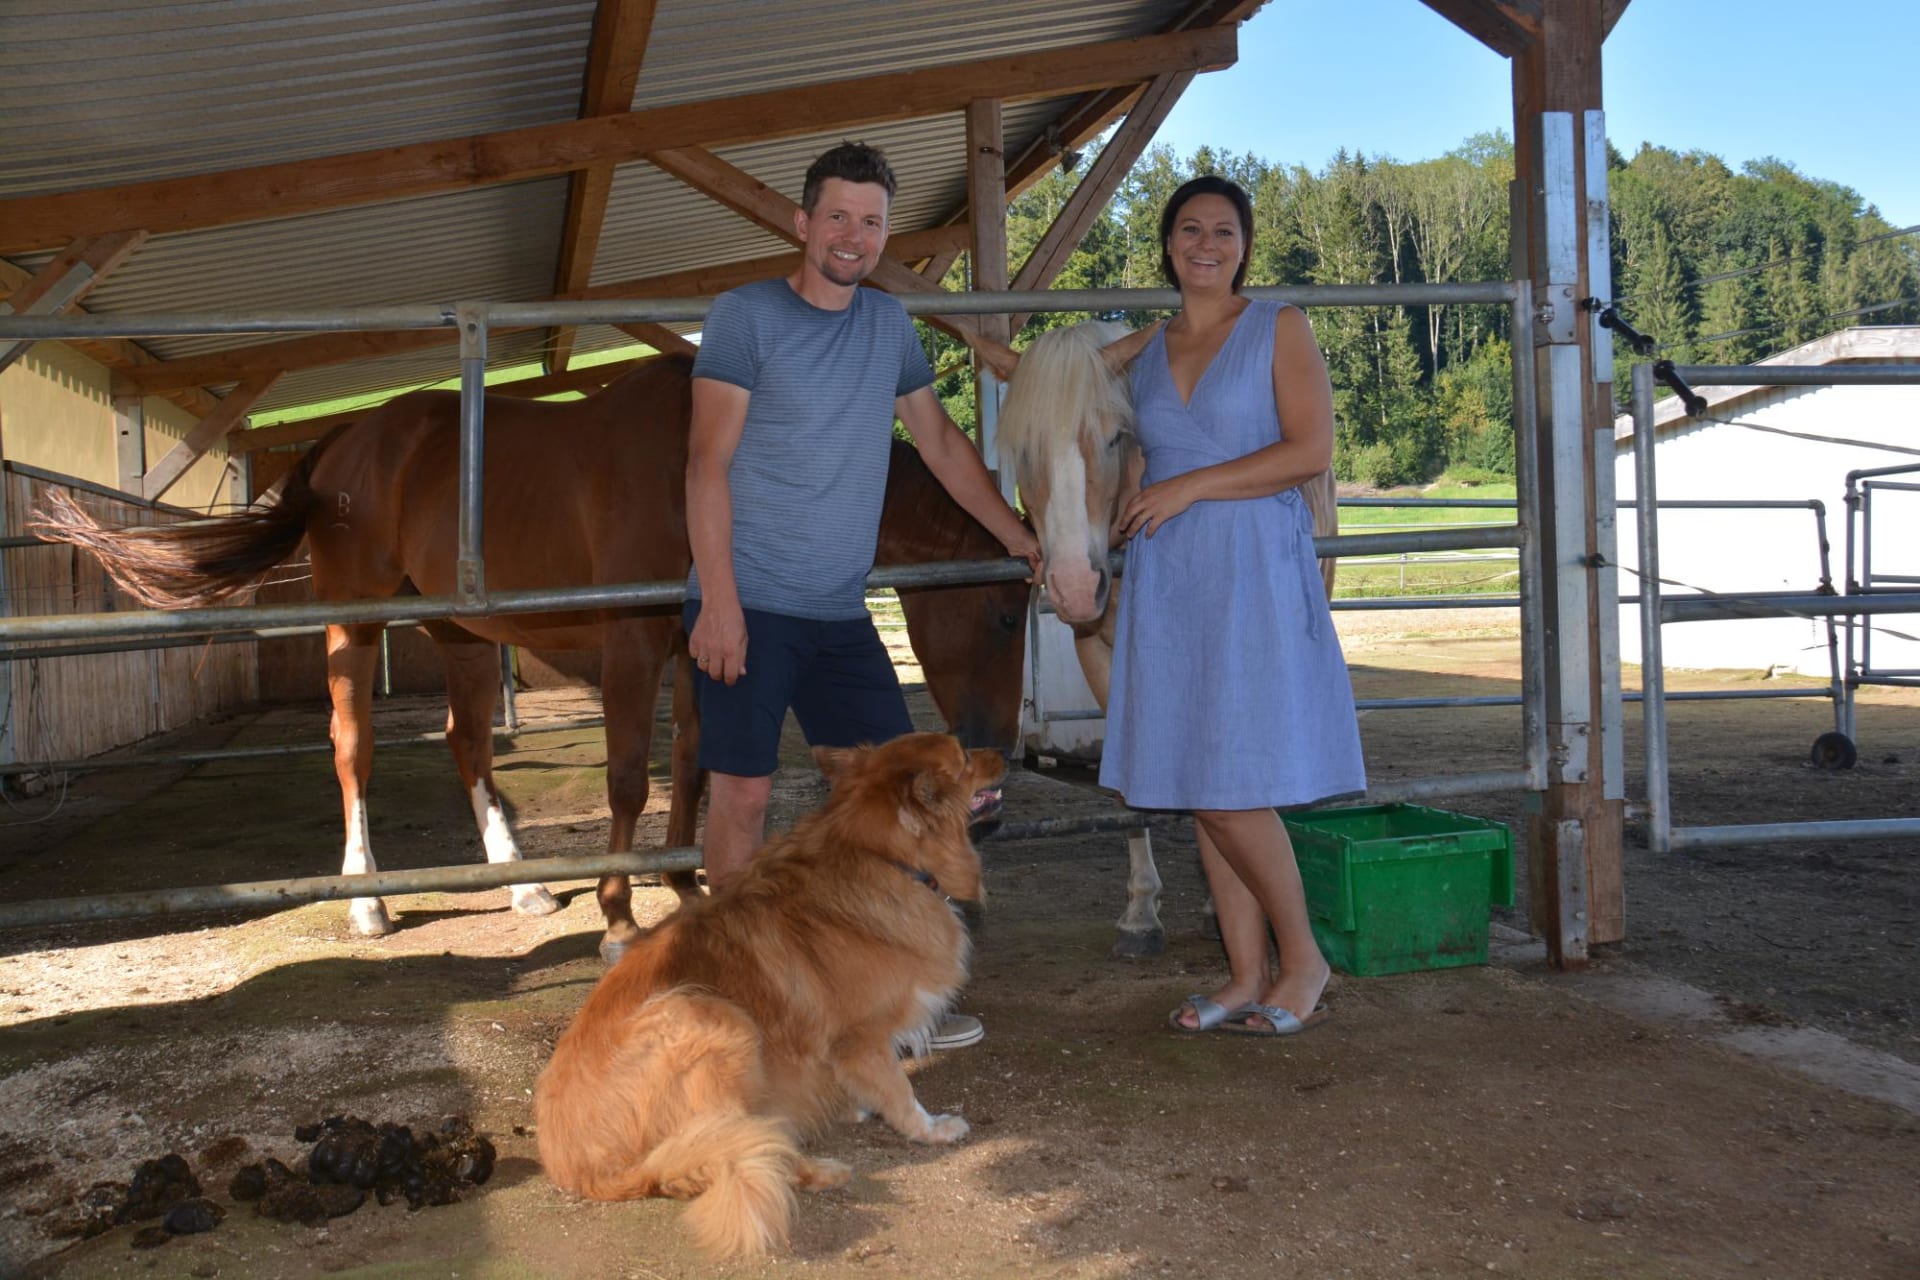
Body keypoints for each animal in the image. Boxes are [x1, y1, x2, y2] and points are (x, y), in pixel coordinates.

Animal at [32, 356, 1031, 964]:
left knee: (468, 744)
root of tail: (347, 443)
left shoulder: (698, 647)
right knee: (353, 748)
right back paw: (366, 899)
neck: (709, 468)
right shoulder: (633, 642)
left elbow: (691, 767)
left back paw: (522, 885)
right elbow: (627, 777)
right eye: (1006, 613)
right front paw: (619, 918)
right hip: (354, 628)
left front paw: (680, 882)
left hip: (464, 641)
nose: (996, 760)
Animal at [534, 731, 1006, 1258]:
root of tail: (588, 1171)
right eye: (965, 757)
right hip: (710, 1018)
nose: (1004, 751)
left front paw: (851, 1104)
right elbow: (900, 1092)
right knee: (738, 1147)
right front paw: (931, 1128)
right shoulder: (860, 1038)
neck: (875, 852)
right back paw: (814, 1167)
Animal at [968, 320, 1339, 954]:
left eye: (1116, 437)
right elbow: (1130, 789)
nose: (1074, 586)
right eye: (1025, 448)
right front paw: (1142, 909)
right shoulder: (1099, 654)